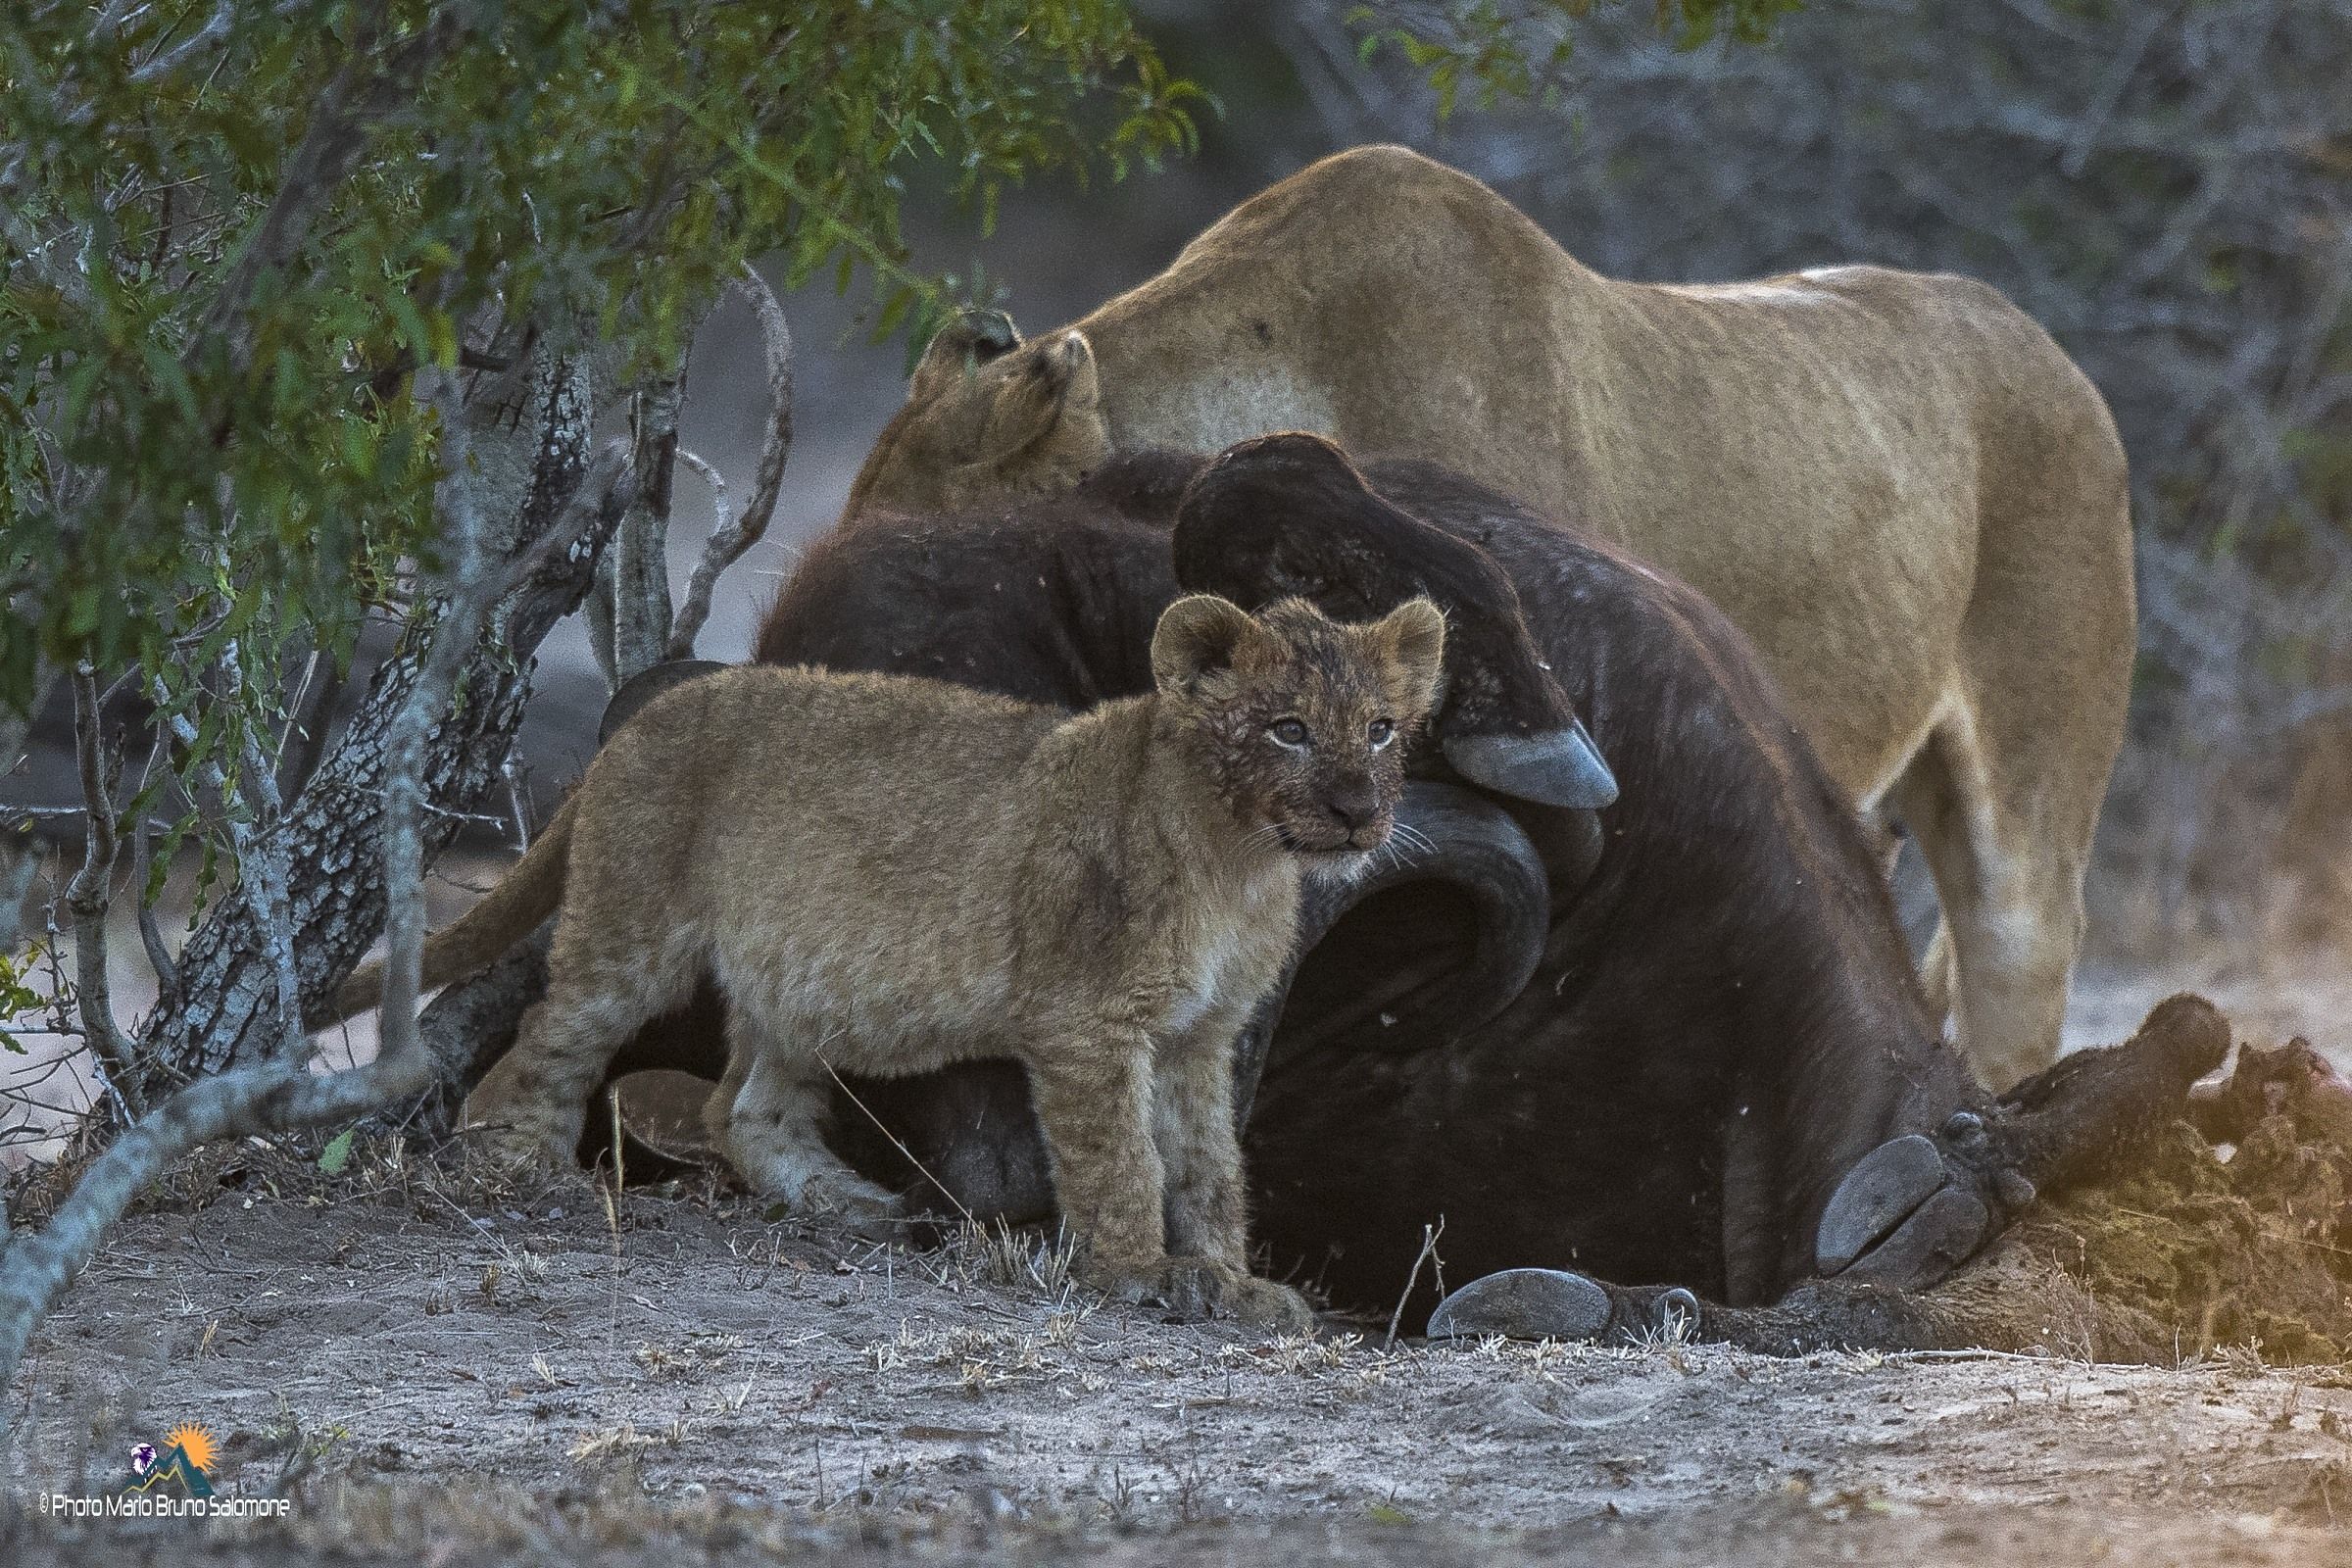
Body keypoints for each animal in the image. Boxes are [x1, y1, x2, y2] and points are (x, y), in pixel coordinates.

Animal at [337, 593, 1448, 1327]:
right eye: (1289, 729)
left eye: (1380, 728)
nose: (1359, 811)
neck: (1239, 860)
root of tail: (646, 715)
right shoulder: (1087, 1023)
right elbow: (1122, 1160)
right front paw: (1140, 1272)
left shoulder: (1199, 1038)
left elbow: (1213, 1166)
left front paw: (1231, 1278)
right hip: (633, 929)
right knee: (551, 1035)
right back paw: (534, 1168)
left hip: (800, 980)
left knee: (742, 1108)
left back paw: (859, 1208)